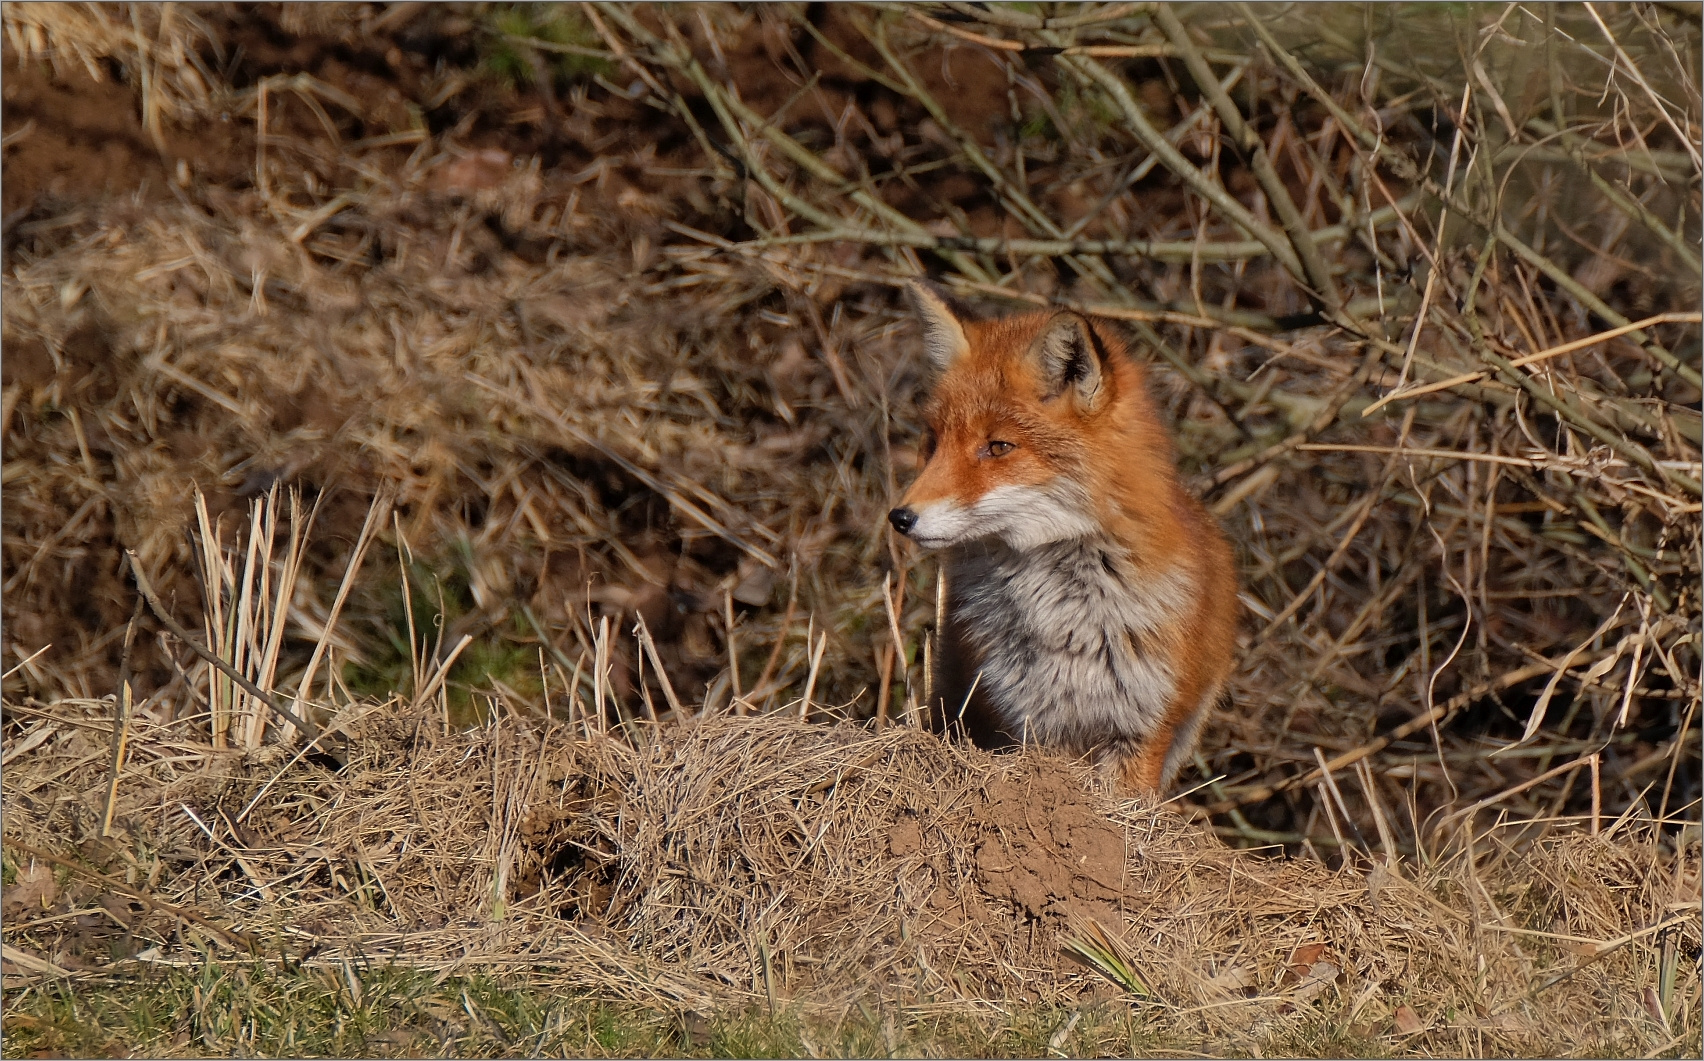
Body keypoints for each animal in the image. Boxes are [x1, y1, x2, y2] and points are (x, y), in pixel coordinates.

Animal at [892, 282, 1240, 797]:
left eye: (998, 447)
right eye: (934, 442)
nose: (900, 517)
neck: (1064, 613)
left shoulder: (1142, 725)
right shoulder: (1033, 722)